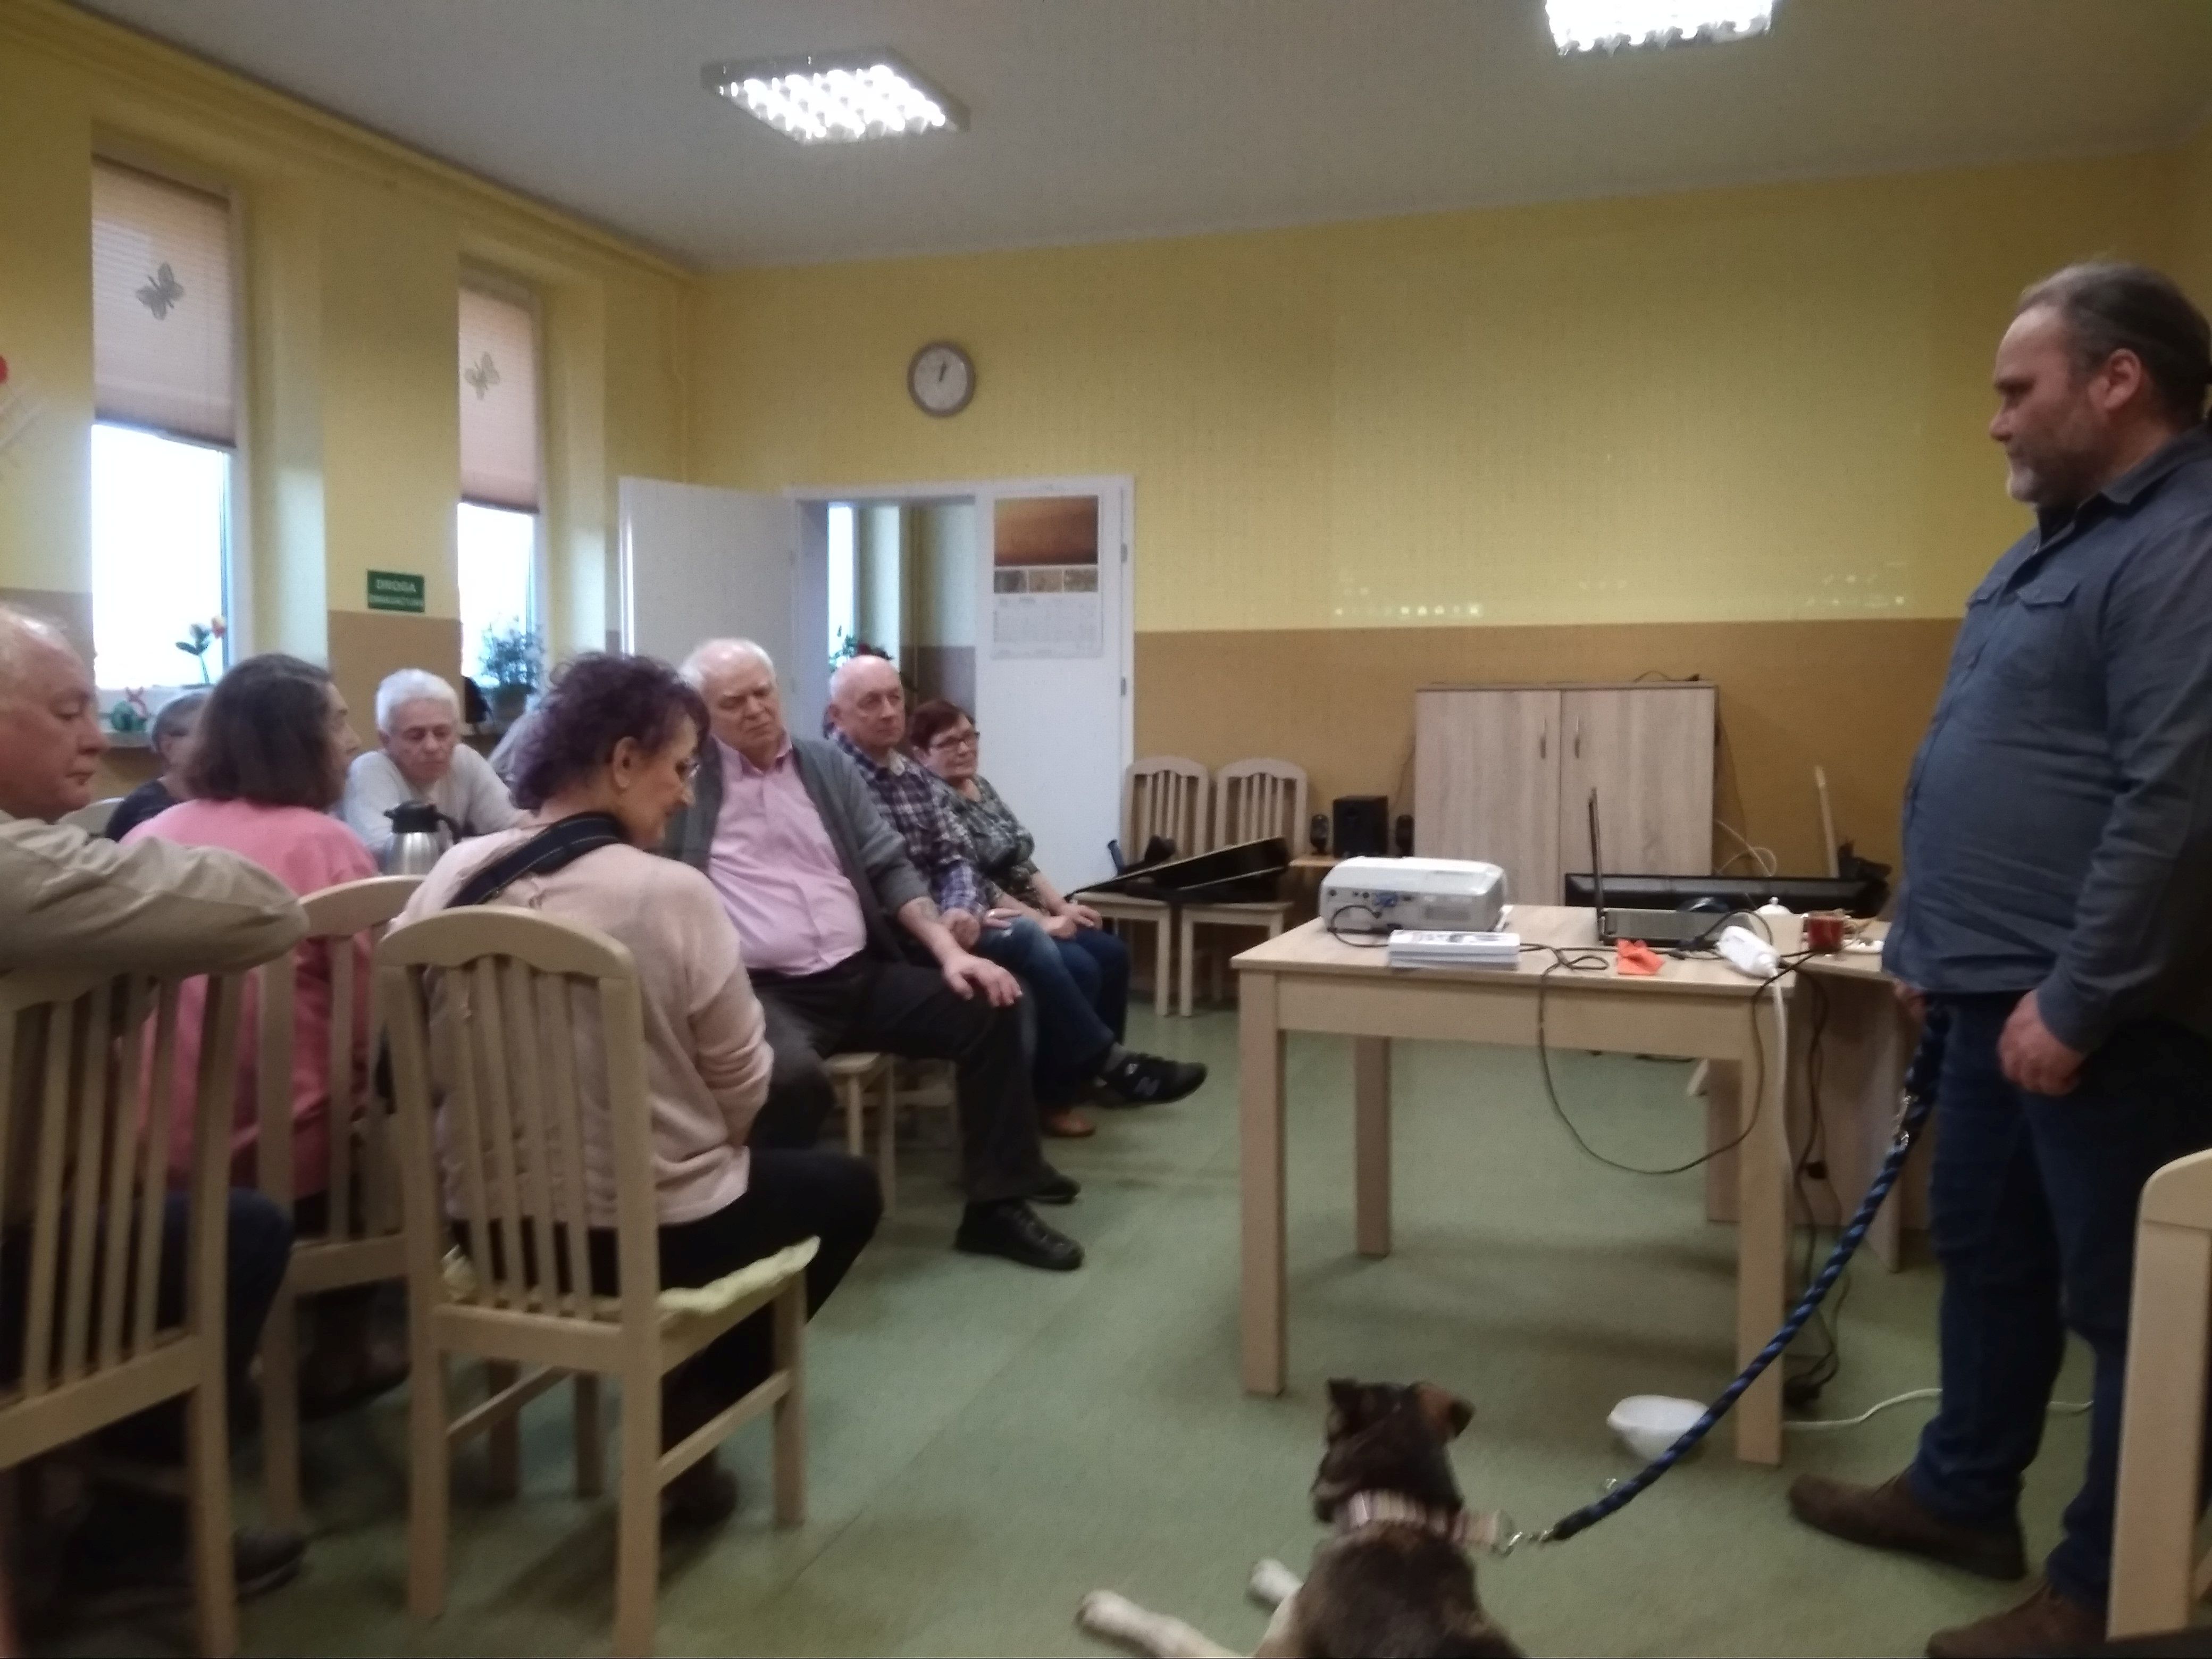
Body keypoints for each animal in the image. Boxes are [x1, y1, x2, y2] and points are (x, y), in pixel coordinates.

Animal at [1078, 1378, 1522, 1658]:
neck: (1397, 1510)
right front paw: (1271, 1576)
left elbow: (1174, 1630)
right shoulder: (1306, 1602)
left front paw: (1109, 1610)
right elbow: (1296, 1590)